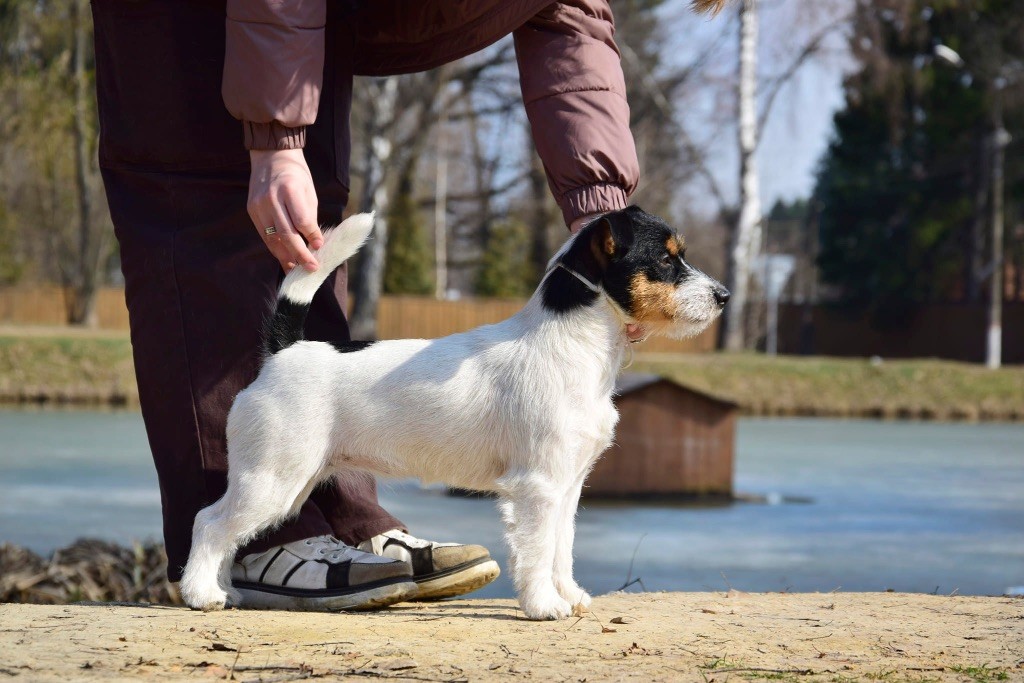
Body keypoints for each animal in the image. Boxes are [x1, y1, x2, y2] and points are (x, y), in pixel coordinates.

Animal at [180, 205, 733, 622]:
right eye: (666, 260)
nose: (724, 296)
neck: (572, 343)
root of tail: (285, 351)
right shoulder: (537, 488)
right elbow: (536, 551)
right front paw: (543, 605)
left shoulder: (568, 487)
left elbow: (562, 547)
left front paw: (569, 594)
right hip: (271, 479)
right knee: (209, 522)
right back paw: (200, 594)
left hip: (289, 482)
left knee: (228, 532)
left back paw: (226, 591)